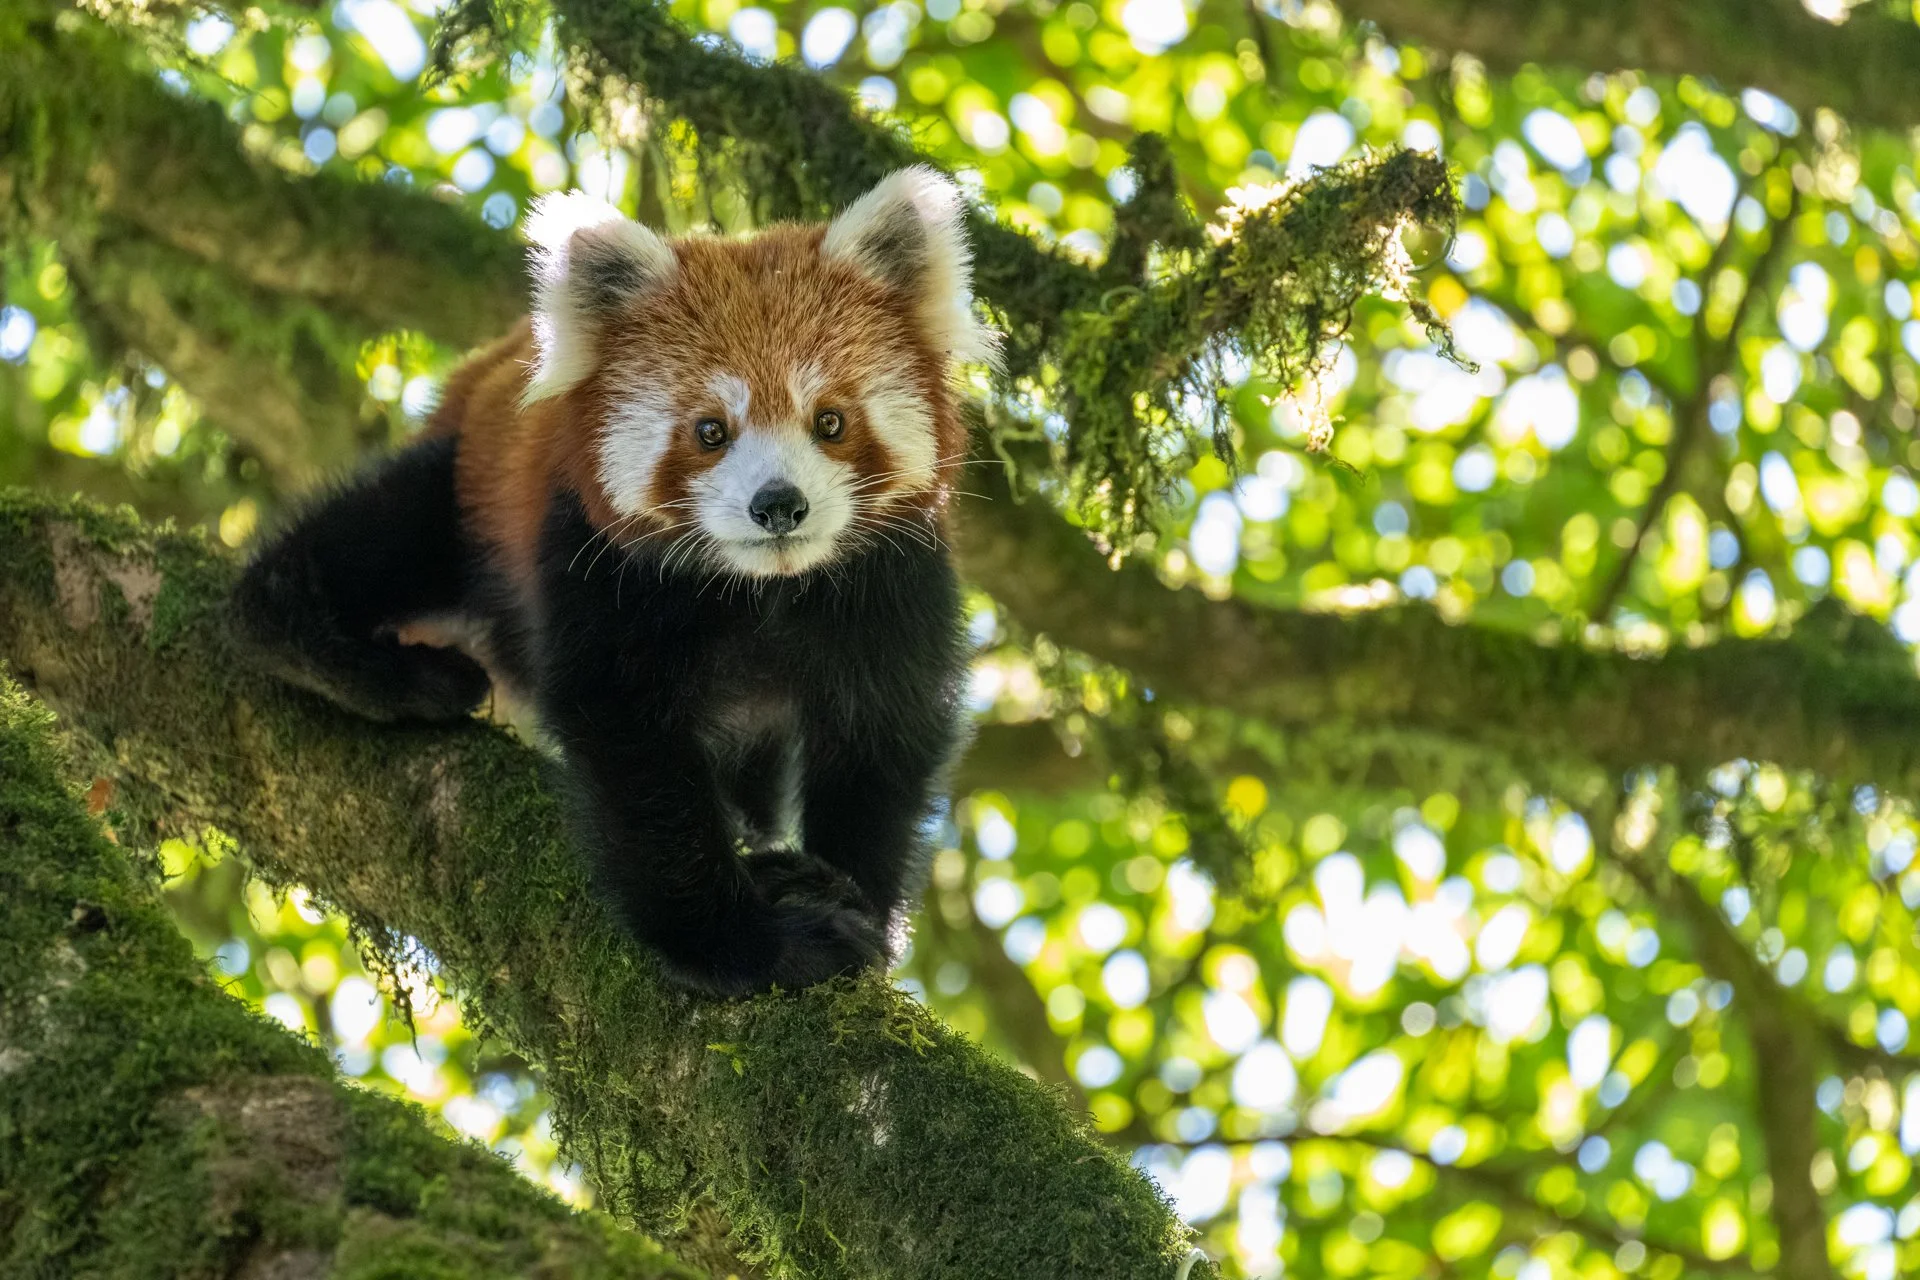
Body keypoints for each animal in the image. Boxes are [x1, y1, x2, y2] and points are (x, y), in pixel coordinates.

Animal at [231, 168, 996, 997]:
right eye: (710, 432)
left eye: (830, 421)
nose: (778, 505)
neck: (762, 587)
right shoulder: (597, 561)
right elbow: (632, 748)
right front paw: (746, 945)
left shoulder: (892, 581)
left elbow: (882, 741)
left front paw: (847, 898)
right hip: (463, 486)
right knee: (383, 532)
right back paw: (377, 668)